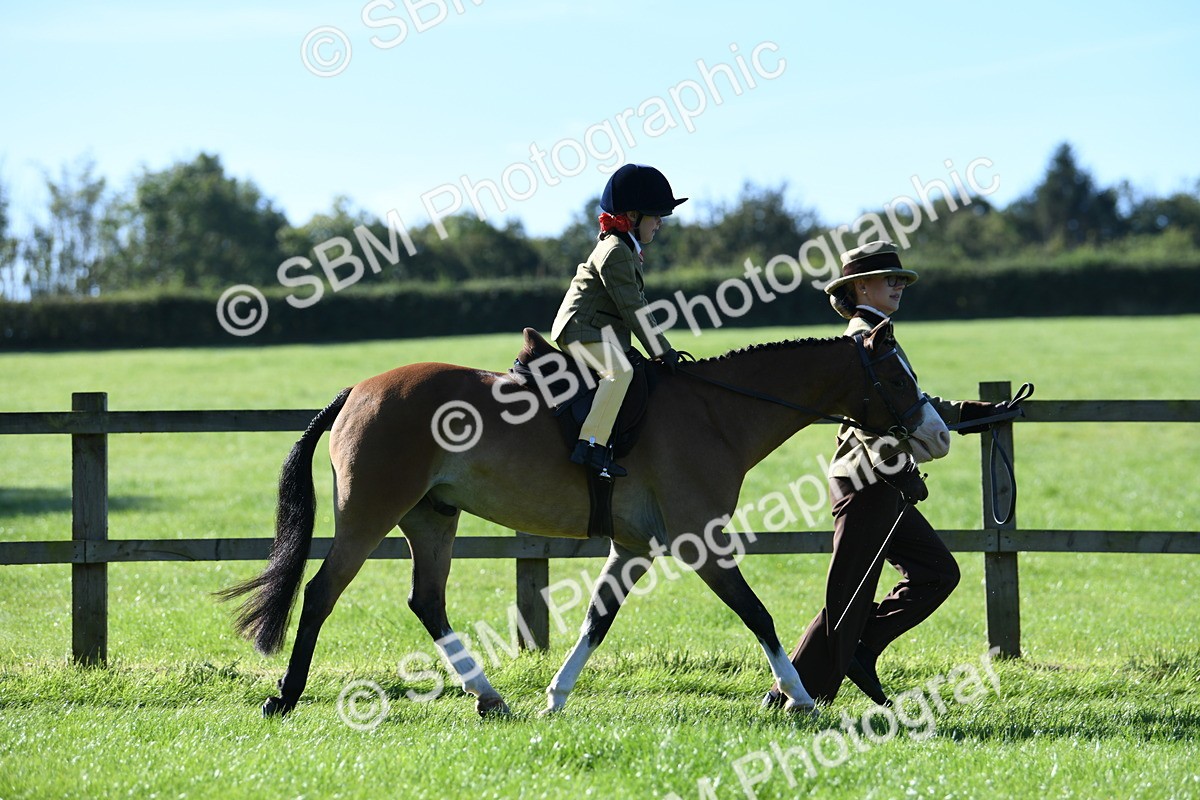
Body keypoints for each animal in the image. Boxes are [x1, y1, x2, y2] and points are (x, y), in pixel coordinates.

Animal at [218, 319, 950, 718]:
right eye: (895, 375)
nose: (939, 434)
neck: (717, 412)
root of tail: (359, 390)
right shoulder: (701, 541)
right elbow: (758, 614)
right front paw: (796, 694)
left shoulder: (635, 547)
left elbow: (599, 619)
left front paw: (556, 695)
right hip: (370, 513)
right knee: (320, 593)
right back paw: (284, 696)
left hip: (431, 517)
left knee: (427, 601)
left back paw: (490, 698)